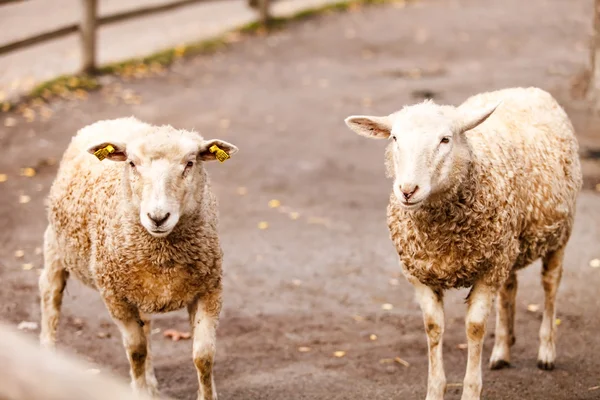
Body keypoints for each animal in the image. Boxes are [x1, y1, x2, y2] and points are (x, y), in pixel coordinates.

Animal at [37, 117, 238, 400]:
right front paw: (138, 389)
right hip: (55, 244)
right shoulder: (115, 296)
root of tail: (114, 120)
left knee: (146, 325)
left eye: (190, 163)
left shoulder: (209, 290)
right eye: (131, 163)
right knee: (50, 296)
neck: (162, 253)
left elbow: (203, 355)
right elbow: (136, 351)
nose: (158, 217)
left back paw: (152, 383)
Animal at [344, 87, 584, 400]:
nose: (407, 190)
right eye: (394, 138)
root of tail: (521, 89)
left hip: (557, 234)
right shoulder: (421, 273)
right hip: (508, 246)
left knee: (550, 285)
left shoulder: (487, 271)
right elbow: (433, 328)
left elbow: (475, 328)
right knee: (509, 288)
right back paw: (502, 350)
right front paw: (435, 390)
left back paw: (546, 351)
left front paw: (471, 390)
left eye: (445, 139)